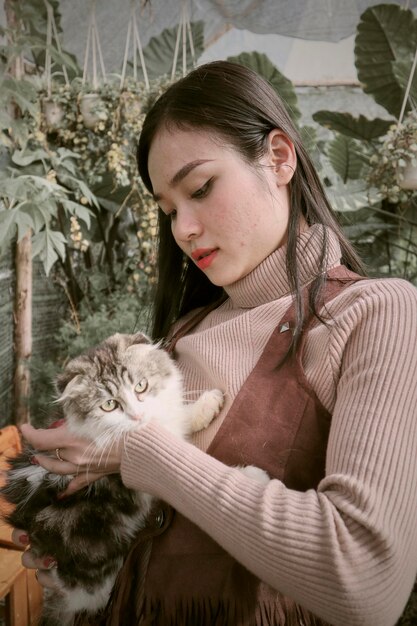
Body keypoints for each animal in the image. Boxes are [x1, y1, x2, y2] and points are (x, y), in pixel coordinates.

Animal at [0, 332, 224, 624]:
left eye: (141, 386)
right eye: (109, 405)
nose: (137, 415)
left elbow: (172, 419)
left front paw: (204, 405)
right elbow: (174, 444)